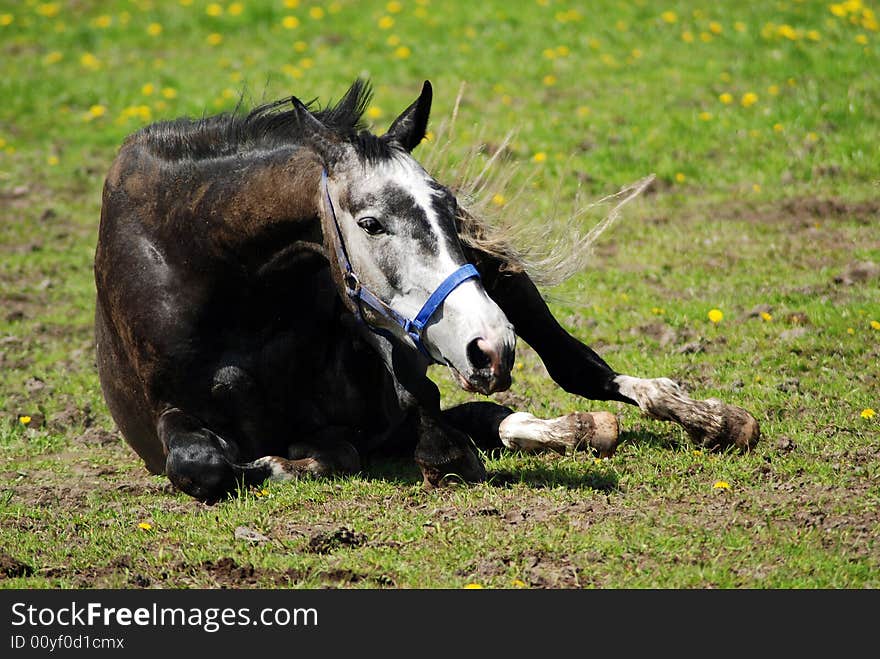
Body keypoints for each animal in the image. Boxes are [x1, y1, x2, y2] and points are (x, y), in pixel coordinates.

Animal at [93, 80, 760, 502]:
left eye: (447, 206)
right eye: (370, 223)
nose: (491, 347)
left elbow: (425, 417)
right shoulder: (170, 414)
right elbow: (205, 467)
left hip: (502, 285)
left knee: (576, 367)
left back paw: (710, 419)